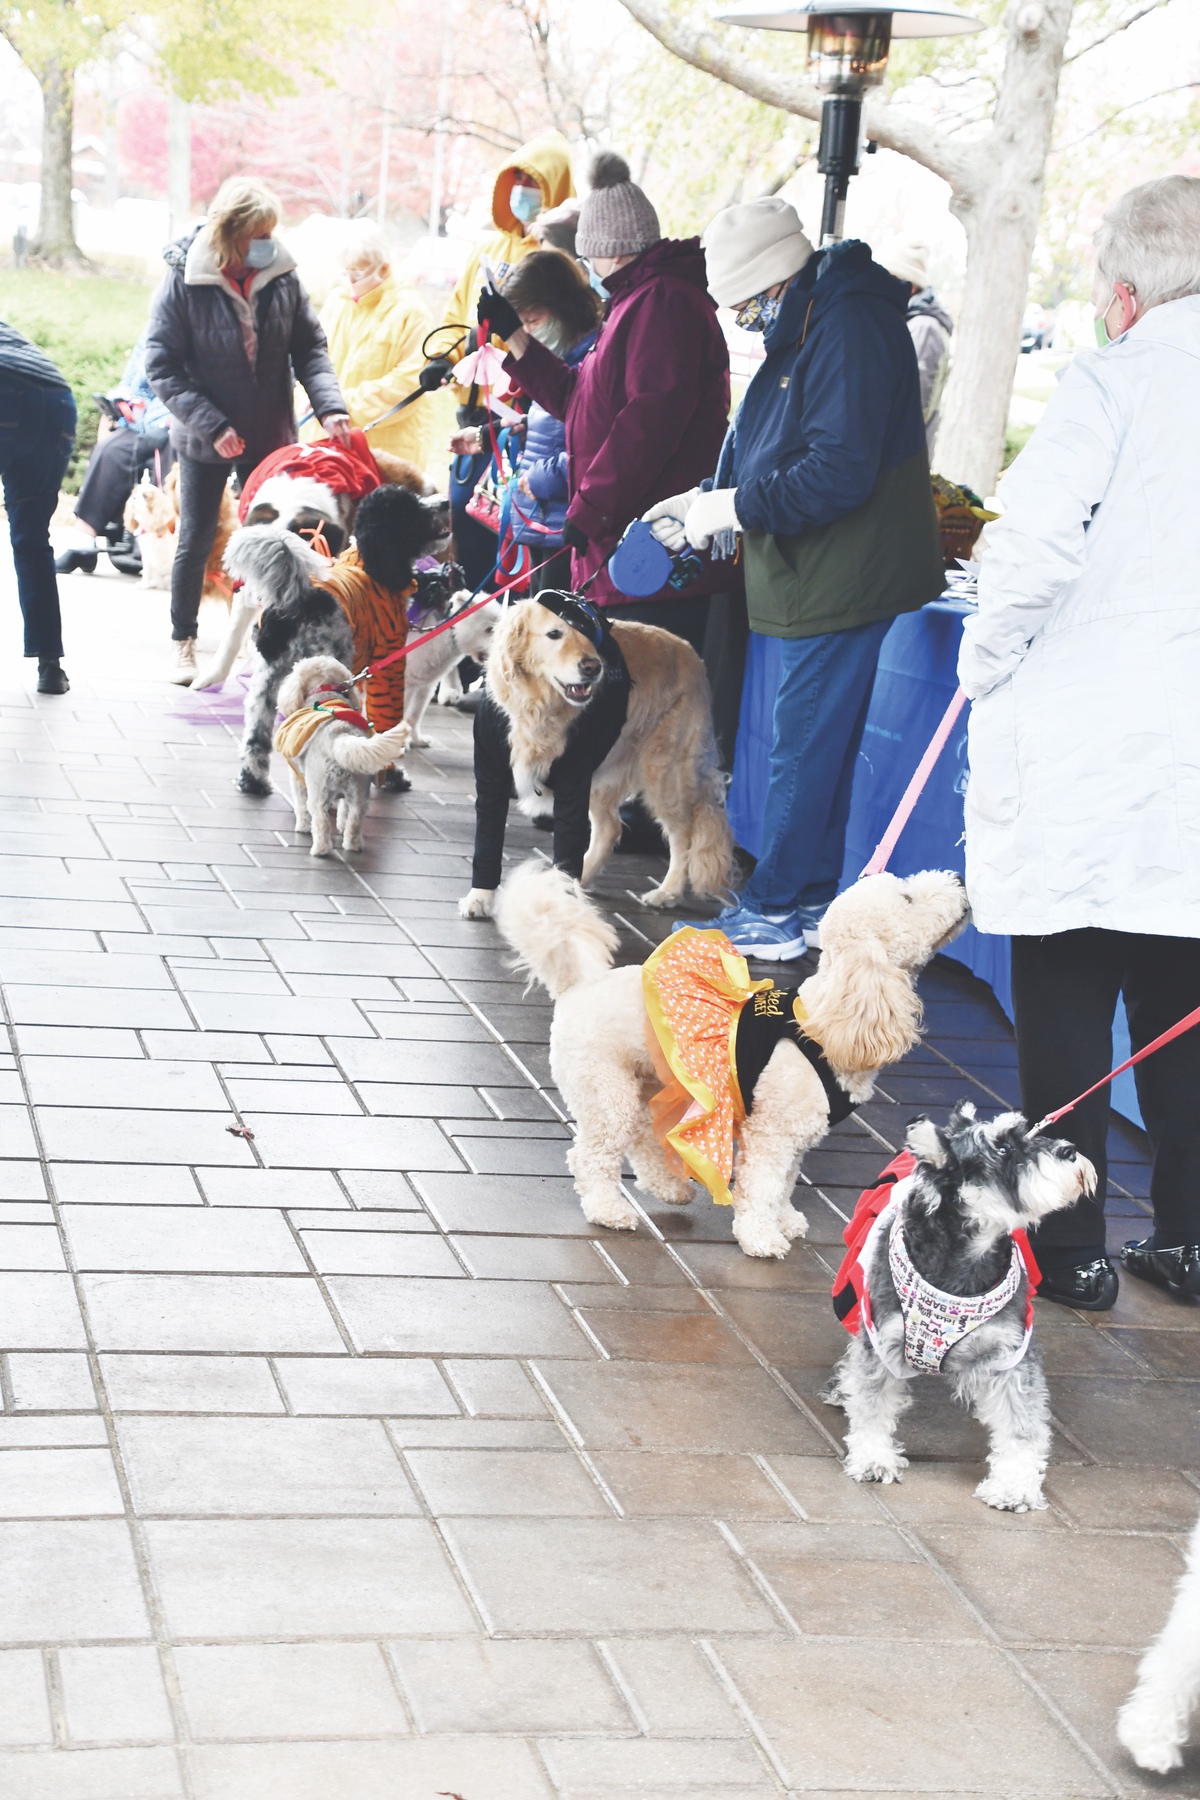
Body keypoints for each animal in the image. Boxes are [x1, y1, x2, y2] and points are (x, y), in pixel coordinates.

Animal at [277, 655, 413, 856]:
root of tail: (339, 735)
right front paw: (341, 825)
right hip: (359, 790)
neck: (325, 691)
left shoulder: (297, 777)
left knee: (321, 821)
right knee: (355, 820)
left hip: (318, 790)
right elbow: (344, 812)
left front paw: (302, 826)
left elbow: (300, 805)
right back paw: (353, 845)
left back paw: (320, 849)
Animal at [492, 864, 971, 1260]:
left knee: (643, 1138)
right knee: (592, 1156)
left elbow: (784, 1185)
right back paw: (608, 1210)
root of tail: (576, 987)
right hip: (605, 1090)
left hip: (647, 1082)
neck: (826, 1021)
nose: (960, 882)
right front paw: (761, 1237)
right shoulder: (770, 1135)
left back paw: (669, 1188)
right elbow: (762, 1187)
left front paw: (784, 1220)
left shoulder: (795, 1138)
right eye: (907, 898)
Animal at [827, 1101, 1101, 1512]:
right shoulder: (882, 1343)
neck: (968, 1258)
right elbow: (872, 1403)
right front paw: (873, 1457)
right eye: (1002, 1148)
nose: (1069, 1150)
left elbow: (1021, 1424)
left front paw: (1014, 1485)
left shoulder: (1010, 1355)